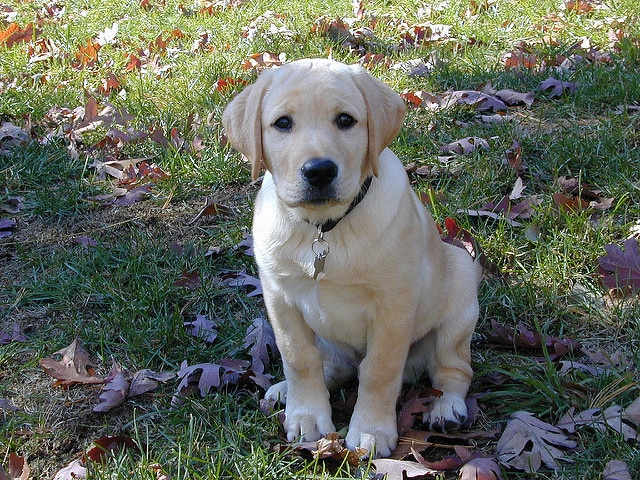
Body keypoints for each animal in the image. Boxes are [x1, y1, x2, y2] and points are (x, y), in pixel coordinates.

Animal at [224, 58, 480, 456]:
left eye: (345, 120)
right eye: (282, 123)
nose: (319, 171)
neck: (323, 228)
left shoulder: (393, 305)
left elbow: (379, 370)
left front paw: (372, 429)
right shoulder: (280, 300)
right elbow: (299, 359)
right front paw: (307, 415)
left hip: (461, 296)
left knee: (453, 370)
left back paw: (446, 407)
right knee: (332, 366)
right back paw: (286, 392)